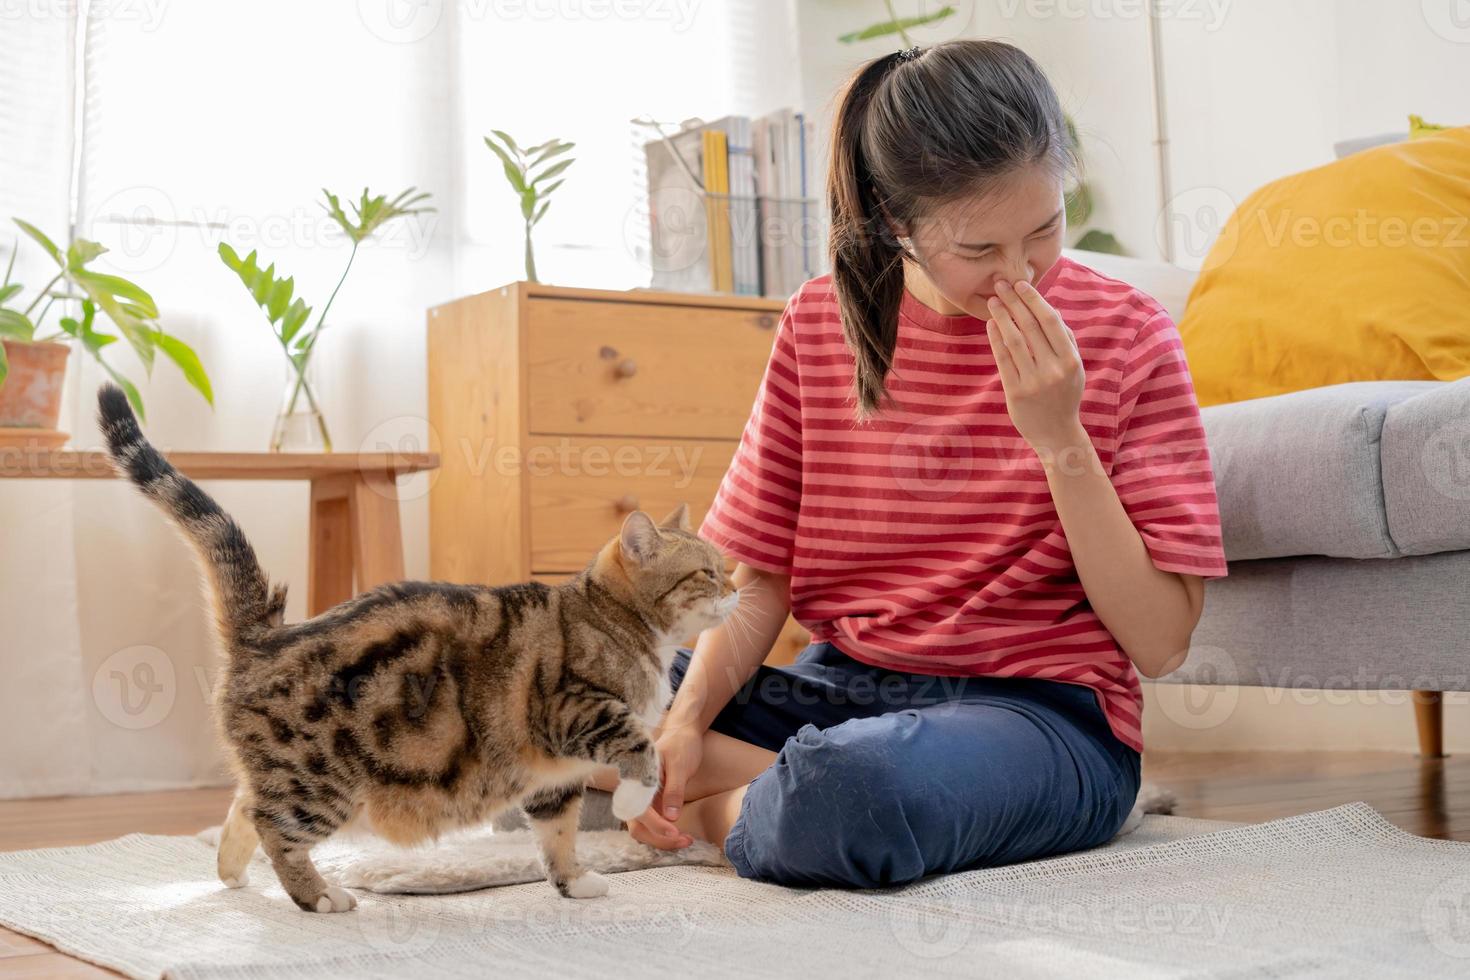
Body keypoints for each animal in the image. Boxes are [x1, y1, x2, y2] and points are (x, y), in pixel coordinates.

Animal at [100, 382, 746, 910]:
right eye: (707, 573)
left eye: (723, 567)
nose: (739, 587)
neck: (623, 624)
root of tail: (266, 633)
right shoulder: (575, 709)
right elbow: (645, 748)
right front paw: (635, 805)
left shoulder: (556, 774)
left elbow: (557, 835)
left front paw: (574, 882)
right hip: (321, 780)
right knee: (272, 824)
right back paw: (319, 895)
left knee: (242, 807)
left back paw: (233, 875)